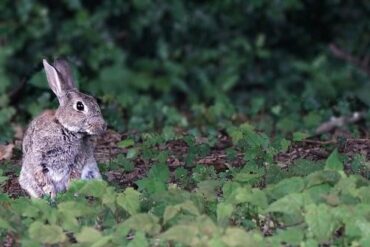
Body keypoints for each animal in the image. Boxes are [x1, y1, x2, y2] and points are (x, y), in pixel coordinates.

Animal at [18, 58, 107, 199]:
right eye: (80, 106)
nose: (103, 126)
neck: (65, 128)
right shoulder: (38, 160)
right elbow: (42, 177)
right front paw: (51, 195)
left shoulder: (77, 160)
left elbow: (73, 177)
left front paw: (69, 194)